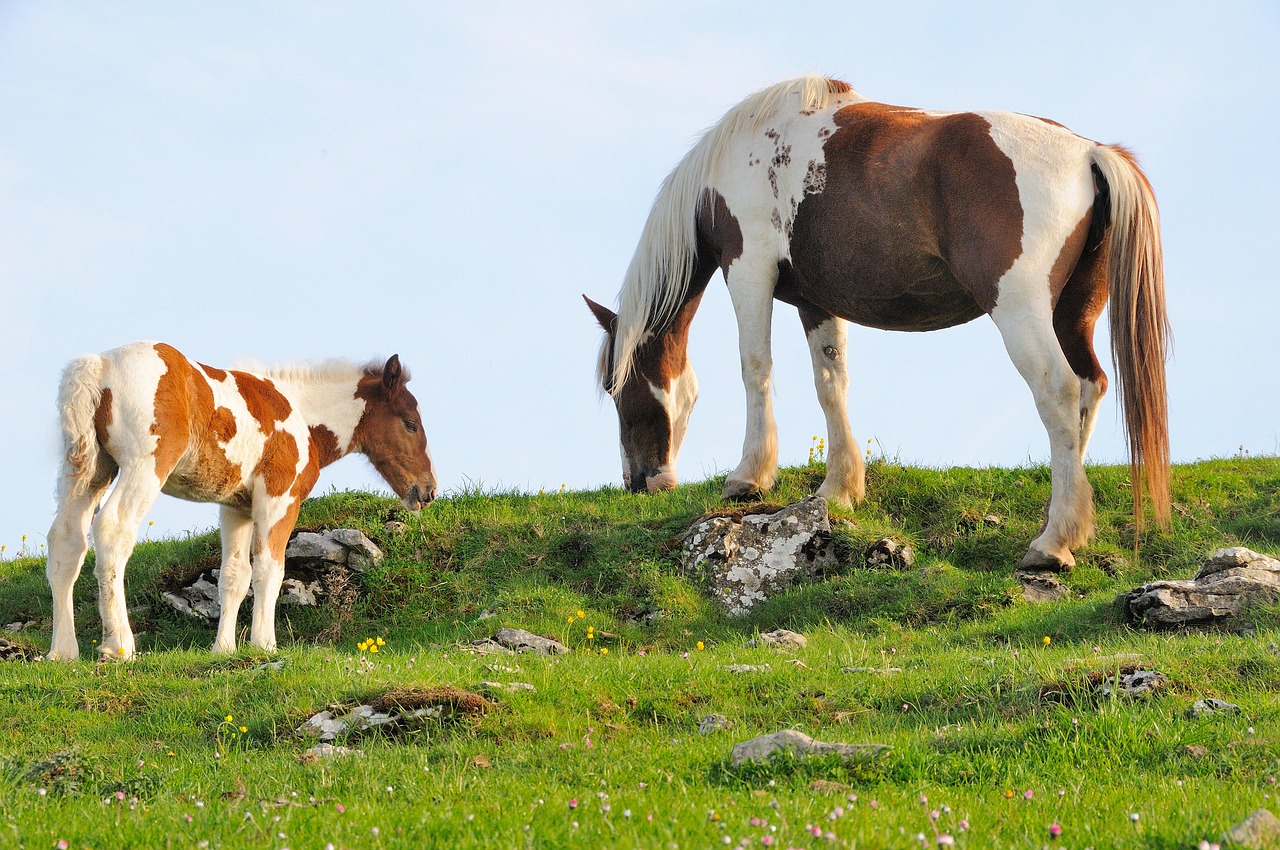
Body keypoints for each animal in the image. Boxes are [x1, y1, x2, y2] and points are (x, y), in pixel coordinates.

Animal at [46, 343, 440, 660]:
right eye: (410, 423)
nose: (428, 490)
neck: (301, 414)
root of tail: (99, 366)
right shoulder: (279, 497)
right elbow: (270, 568)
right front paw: (265, 645)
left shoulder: (237, 506)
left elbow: (234, 576)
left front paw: (224, 649)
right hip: (144, 466)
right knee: (113, 531)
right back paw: (119, 646)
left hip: (88, 471)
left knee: (66, 542)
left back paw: (63, 652)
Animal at [588, 76, 1172, 573]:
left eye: (616, 389)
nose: (640, 482)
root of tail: (1088, 152)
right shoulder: (815, 299)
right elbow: (831, 383)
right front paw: (839, 489)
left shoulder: (748, 268)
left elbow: (756, 368)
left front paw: (748, 478)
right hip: (1071, 314)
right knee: (1090, 388)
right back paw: (1071, 520)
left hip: (1022, 312)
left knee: (1058, 391)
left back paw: (1053, 542)